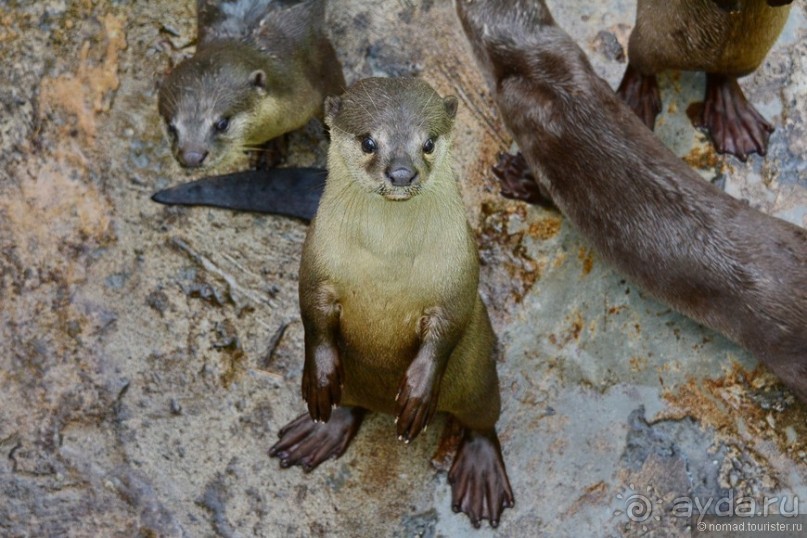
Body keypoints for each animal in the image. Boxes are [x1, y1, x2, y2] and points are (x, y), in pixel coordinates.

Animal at [268, 77, 516, 524]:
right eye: (369, 142)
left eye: (429, 142)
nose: (402, 172)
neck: (388, 260)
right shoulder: (316, 260)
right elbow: (311, 311)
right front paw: (320, 378)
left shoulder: (457, 271)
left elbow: (449, 323)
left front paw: (417, 392)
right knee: (348, 405)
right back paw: (321, 428)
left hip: (479, 380)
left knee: (483, 422)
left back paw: (480, 470)